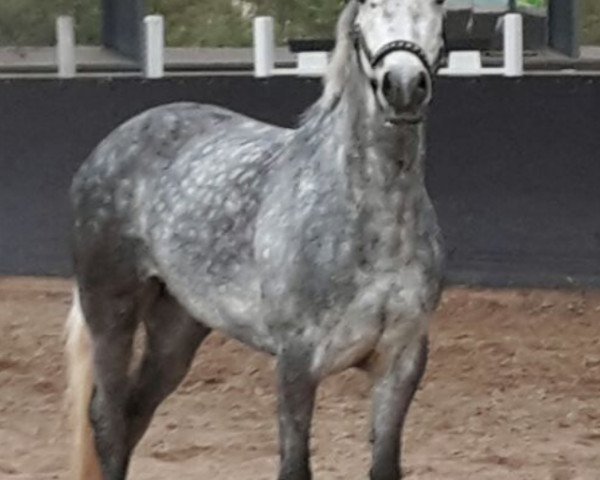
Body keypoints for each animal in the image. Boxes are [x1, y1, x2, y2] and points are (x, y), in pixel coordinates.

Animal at [67, 0, 446, 480]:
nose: (403, 85)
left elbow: (385, 466)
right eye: (368, 12)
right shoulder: (297, 361)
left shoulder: (401, 362)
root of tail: (109, 147)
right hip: (110, 313)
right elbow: (294, 465)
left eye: (436, 8)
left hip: (177, 329)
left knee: (134, 412)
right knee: (109, 419)